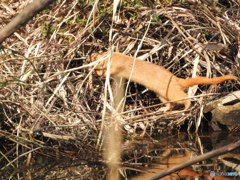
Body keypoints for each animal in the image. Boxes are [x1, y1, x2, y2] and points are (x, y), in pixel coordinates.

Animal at [87, 51, 236, 112]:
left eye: (93, 56)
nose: (88, 56)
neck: (116, 56)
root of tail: (177, 79)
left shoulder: (117, 67)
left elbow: (107, 73)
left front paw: (92, 71)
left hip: (171, 91)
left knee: (184, 98)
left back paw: (186, 107)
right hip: (161, 94)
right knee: (169, 103)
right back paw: (163, 109)